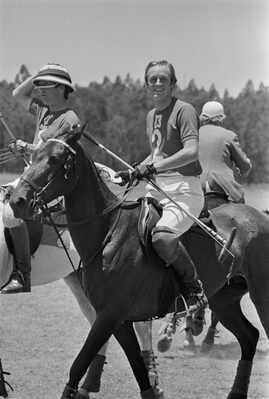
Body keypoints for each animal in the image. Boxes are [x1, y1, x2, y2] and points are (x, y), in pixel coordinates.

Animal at [8, 129, 268, 399]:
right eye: (34, 155)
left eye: (56, 159)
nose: (17, 200)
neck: (108, 232)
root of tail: (259, 215)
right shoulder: (118, 319)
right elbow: (138, 368)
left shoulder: (110, 315)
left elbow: (79, 363)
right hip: (223, 299)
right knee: (249, 336)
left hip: (261, 294)